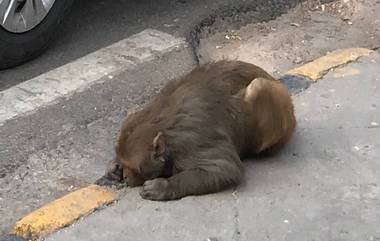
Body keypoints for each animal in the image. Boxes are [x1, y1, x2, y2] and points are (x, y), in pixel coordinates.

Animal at [101, 60, 296, 201]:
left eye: (133, 167)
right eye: (124, 162)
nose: (126, 177)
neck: (162, 124)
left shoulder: (189, 142)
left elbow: (225, 169)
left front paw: (164, 186)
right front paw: (114, 167)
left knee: (259, 86)